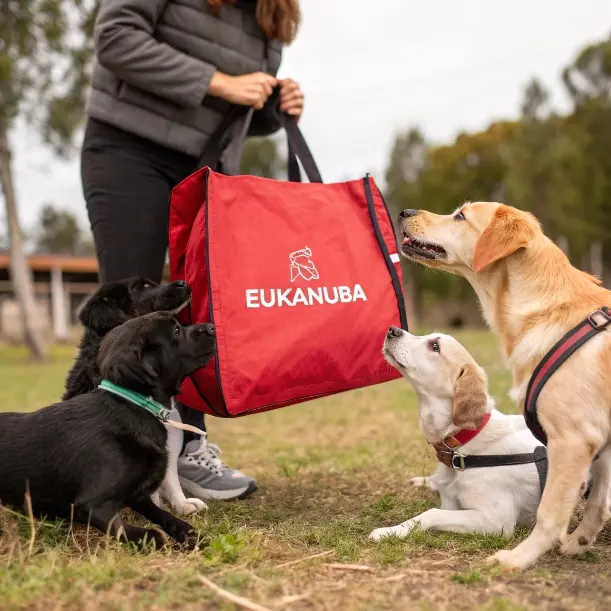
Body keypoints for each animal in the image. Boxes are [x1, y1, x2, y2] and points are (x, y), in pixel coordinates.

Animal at [0, 314, 215, 548]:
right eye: (176, 330)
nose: (212, 327)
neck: (133, 404)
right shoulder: (91, 504)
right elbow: (125, 528)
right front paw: (153, 537)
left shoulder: (137, 495)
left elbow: (162, 513)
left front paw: (186, 530)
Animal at [370, 330, 544, 540]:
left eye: (435, 346)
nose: (392, 330)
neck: (464, 444)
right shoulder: (450, 502)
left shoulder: (497, 521)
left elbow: (431, 513)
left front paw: (390, 531)